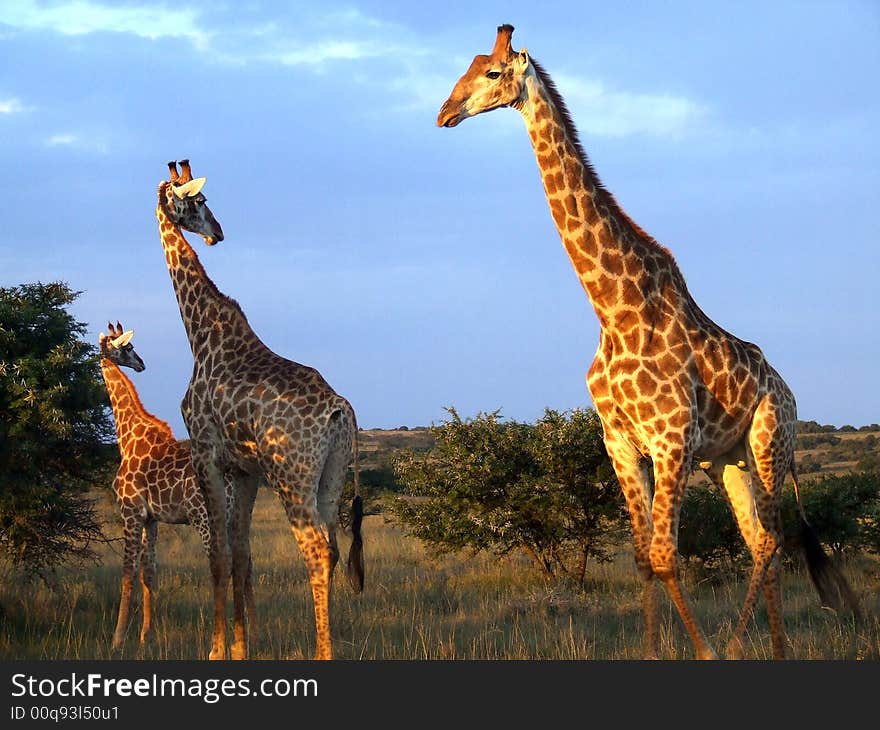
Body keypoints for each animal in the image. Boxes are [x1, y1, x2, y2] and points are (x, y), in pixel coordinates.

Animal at [102, 324, 258, 648]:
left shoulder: (130, 511)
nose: (141, 363)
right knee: (245, 562)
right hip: (233, 515)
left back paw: (221, 639)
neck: (127, 435)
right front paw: (145, 635)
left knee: (222, 564)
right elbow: (148, 572)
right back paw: (254, 635)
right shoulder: (151, 518)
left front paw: (117, 638)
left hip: (204, 517)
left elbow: (127, 572)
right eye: (129, 348)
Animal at [156, 159, 364, 660]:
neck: (200, 334)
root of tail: (341, 410)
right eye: (199, 201)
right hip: (329, 477)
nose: (217, 232)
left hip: (290, 477)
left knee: (315, 550)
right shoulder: (243, 469)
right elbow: (240, 554)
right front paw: (241, 646)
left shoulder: (205, 453)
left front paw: (216, 650)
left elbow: (218, 556)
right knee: (333, 546)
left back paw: (322, 653)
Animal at [436, 25, 856, 656]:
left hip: (769, 445)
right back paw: (772, 649)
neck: (614, 310)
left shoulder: (671, 441)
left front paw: (704, 652)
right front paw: (655, 649)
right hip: (727, 461)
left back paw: (740, 646)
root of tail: (789, 393)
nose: (445, 111)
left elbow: (664, 556)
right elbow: (641, 559)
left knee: (771, 541)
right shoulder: (621, 442)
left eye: (491, 73)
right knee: (760, 542)